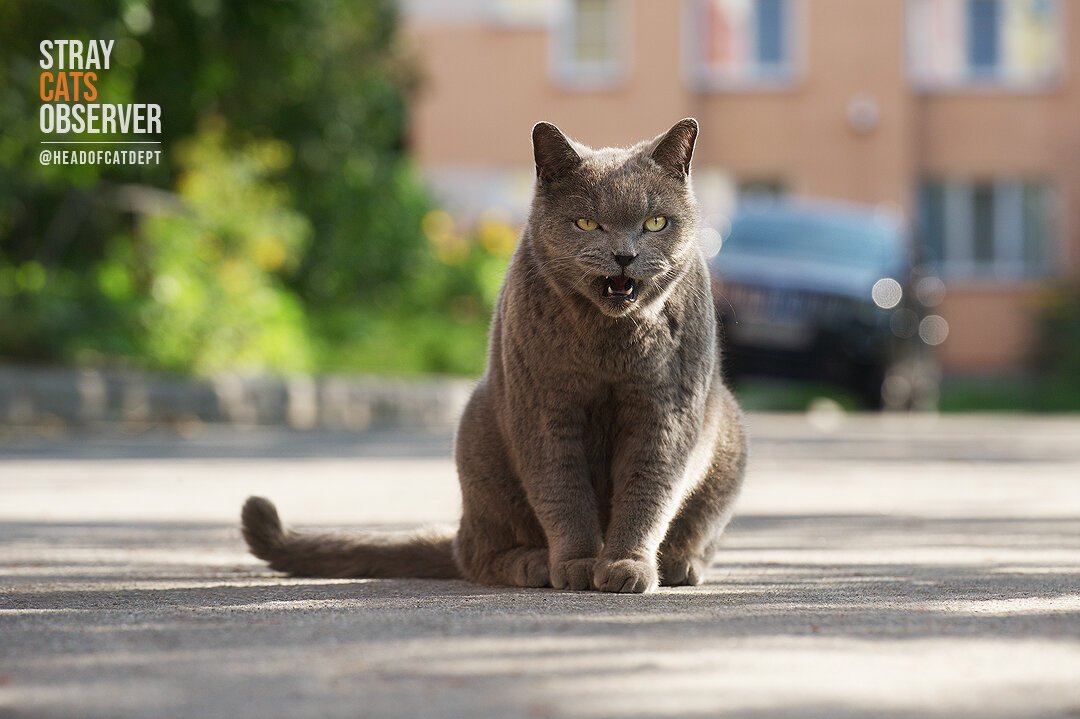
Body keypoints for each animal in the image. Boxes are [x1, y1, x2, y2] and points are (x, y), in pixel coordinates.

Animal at [243, 116, 751, 587]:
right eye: (587, 222)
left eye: (655, 223)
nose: (624, 255)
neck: (609, 343)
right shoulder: (543, 407)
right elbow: (562, 490)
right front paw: (576, 566)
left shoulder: (666, 411)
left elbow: (649, 491)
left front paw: (626, 566)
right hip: (481, 430)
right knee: (478, 553)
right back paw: (534, 564)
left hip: (726, 432)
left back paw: (680, 564)